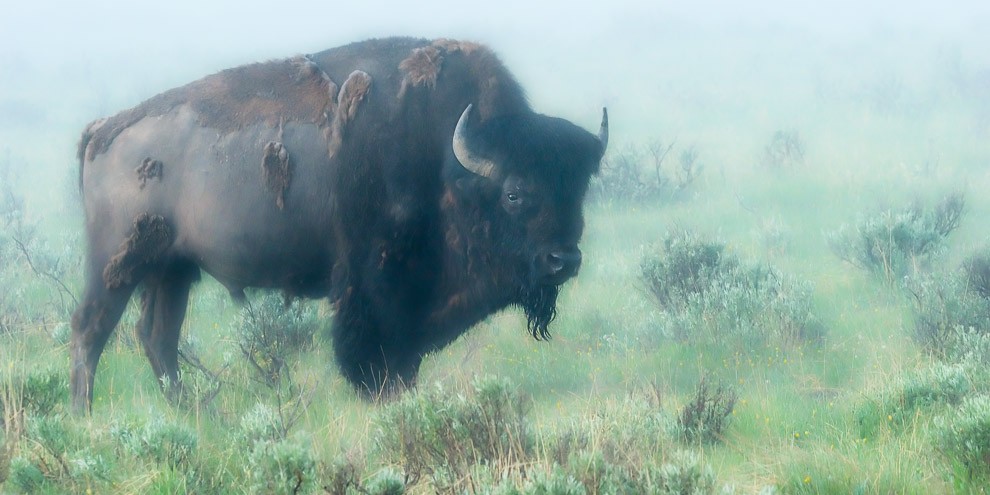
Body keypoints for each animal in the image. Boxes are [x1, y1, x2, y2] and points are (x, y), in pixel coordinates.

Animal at [70, 36, 608, 412]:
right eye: (515, 192)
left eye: (579, 189)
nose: (564, 260)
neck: (447, 167)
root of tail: (101, 130)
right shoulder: (373, 290)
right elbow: (378, 358)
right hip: (115, 263)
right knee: (90, 330)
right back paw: (83, 416)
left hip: (172, 269)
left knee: (157, 337)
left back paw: (194, 412)